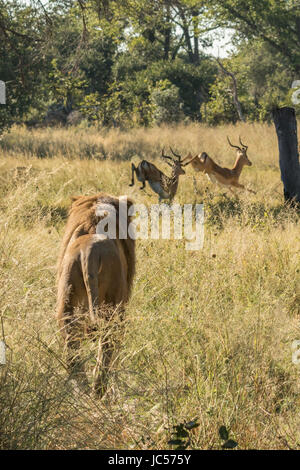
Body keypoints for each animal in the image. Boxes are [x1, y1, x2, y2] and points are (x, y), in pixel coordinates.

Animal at [56, 193, 136, 394]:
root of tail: (88, 252)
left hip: (66, 309)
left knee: (74, 361)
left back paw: (81, 393)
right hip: (114, 311)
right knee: (104, 359)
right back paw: (100, 393)